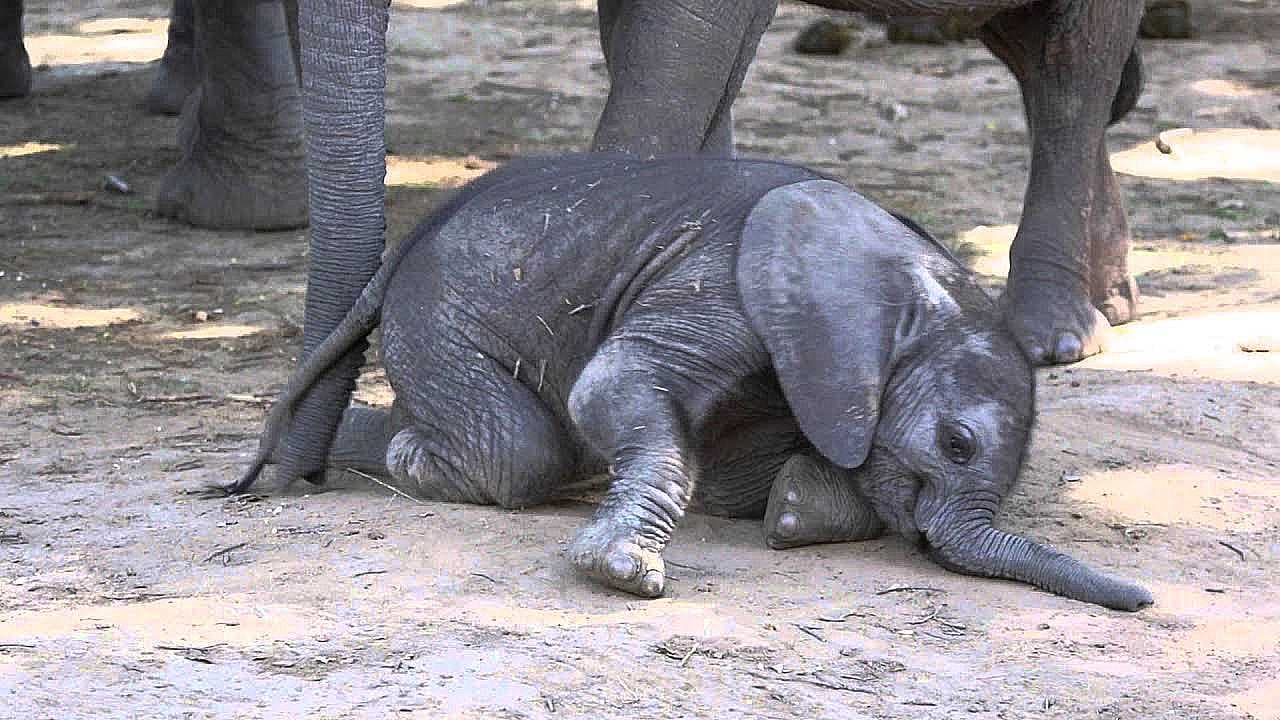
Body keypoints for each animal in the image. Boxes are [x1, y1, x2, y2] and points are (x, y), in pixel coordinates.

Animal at [232, 154, 1162, 607]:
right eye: (958, 443)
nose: (1147, 602)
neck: (910, 273)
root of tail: (398, 255)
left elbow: (742, 474)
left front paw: (799, 505)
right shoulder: (723, 285)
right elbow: (611, 388)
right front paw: (623, 575)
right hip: (439, 312)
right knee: (523, 453)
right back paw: (395, 459)